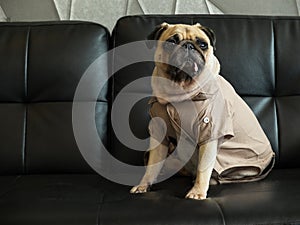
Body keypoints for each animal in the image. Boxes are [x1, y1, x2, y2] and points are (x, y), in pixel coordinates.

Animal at [130, 22, 276, 200]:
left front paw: (197, 192)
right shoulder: (159, 134)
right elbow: (152, 166)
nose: (188, 46)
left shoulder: (209, 132)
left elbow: (203, 168)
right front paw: (144, 185)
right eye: (171, 42)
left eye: (202, 44)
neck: (179, 91)